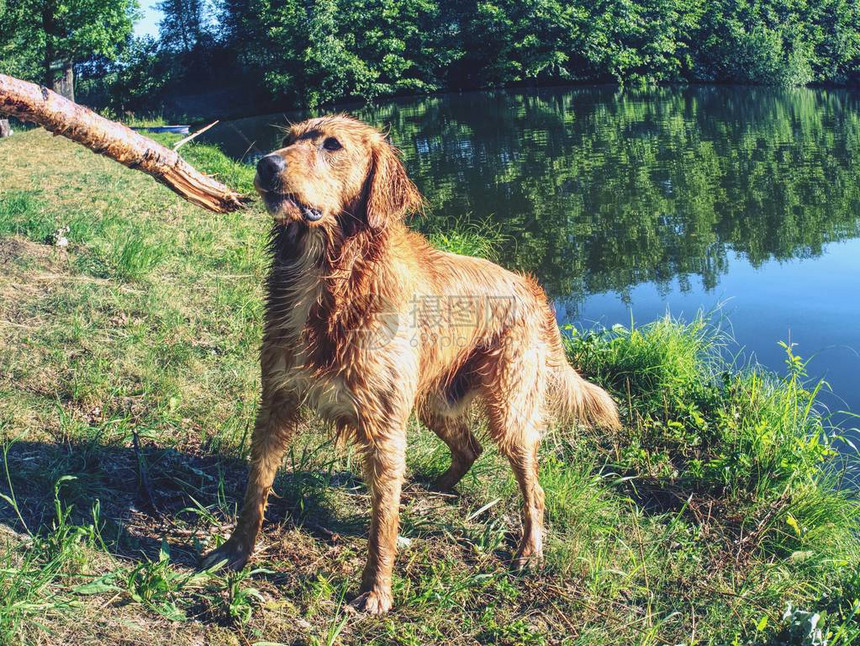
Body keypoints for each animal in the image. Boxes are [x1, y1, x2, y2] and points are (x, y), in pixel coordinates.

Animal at [202, 114, 620, 616]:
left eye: (332, 145)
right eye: (289, 138)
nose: (266, 165)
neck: (329, 276)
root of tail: (530, 287)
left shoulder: (384, 430)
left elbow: (383, 524)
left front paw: (376, 592)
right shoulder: (277, 400)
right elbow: (255, 487)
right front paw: (235, 551)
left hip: (509, 413)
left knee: (533, 489)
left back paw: (529, 548)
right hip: (433, 403)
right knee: (469, 447)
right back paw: (436, 486)